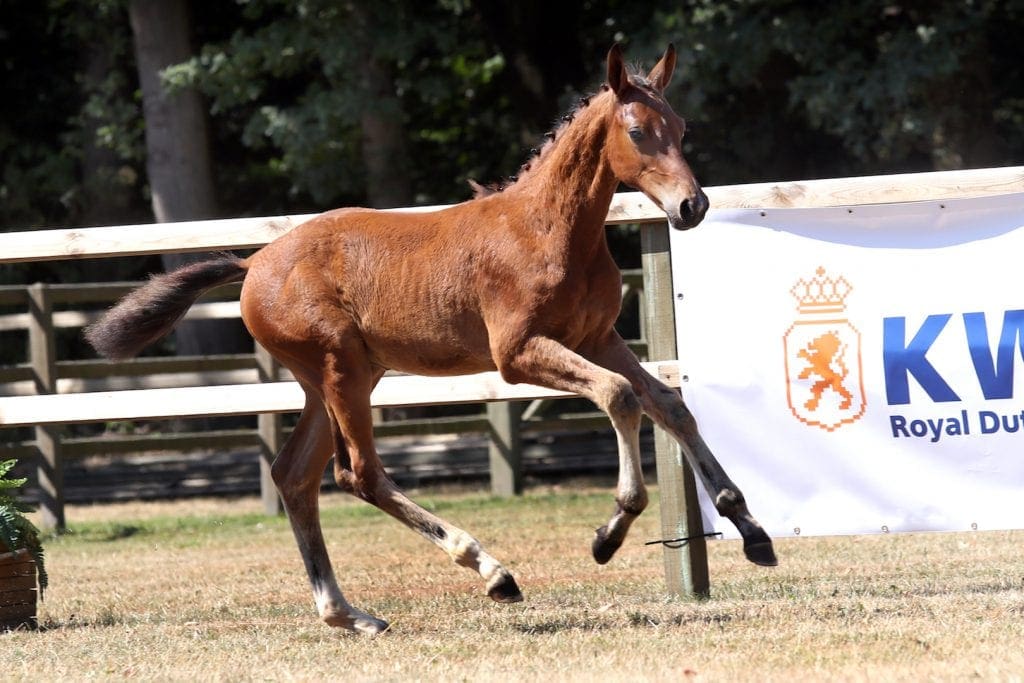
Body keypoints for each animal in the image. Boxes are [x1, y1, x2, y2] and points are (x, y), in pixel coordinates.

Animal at [85, 44, 776, 635]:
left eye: (682, 127)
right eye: (637, 132)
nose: (692, 206)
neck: (551, 230)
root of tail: (253, 262)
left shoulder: (599, 338)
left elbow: (670, 405)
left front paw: (748, 524)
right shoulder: (518, 354)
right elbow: (619, 397)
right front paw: (611, 531)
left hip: (337, 379)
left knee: (294, 477)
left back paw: (349, 614)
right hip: (340, 372)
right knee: (358, 474)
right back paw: (490, 570)